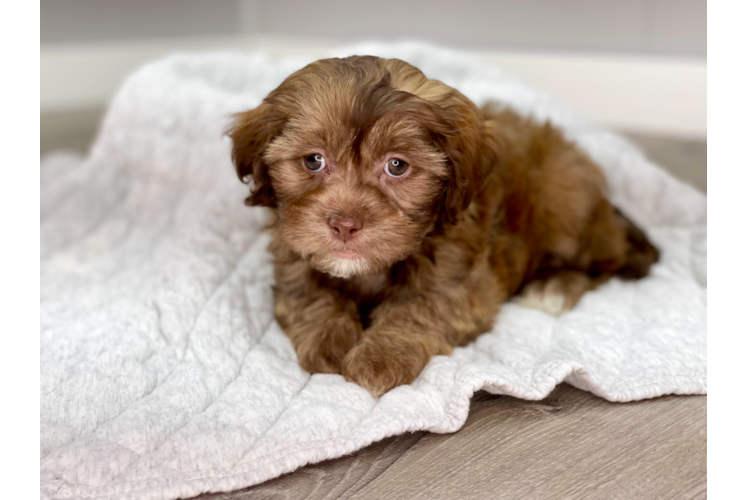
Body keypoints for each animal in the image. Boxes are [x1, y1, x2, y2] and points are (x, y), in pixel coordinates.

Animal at [231, 56, 656, 396]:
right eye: (313, 160)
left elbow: (420, 308)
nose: (345, 224)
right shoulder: (293, 259)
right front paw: (328, 338)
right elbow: (310, 294)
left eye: (397, 165)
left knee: (604, 263)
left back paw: (554, 286)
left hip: (561, 197)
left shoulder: (464, 285)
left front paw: (380, 356)